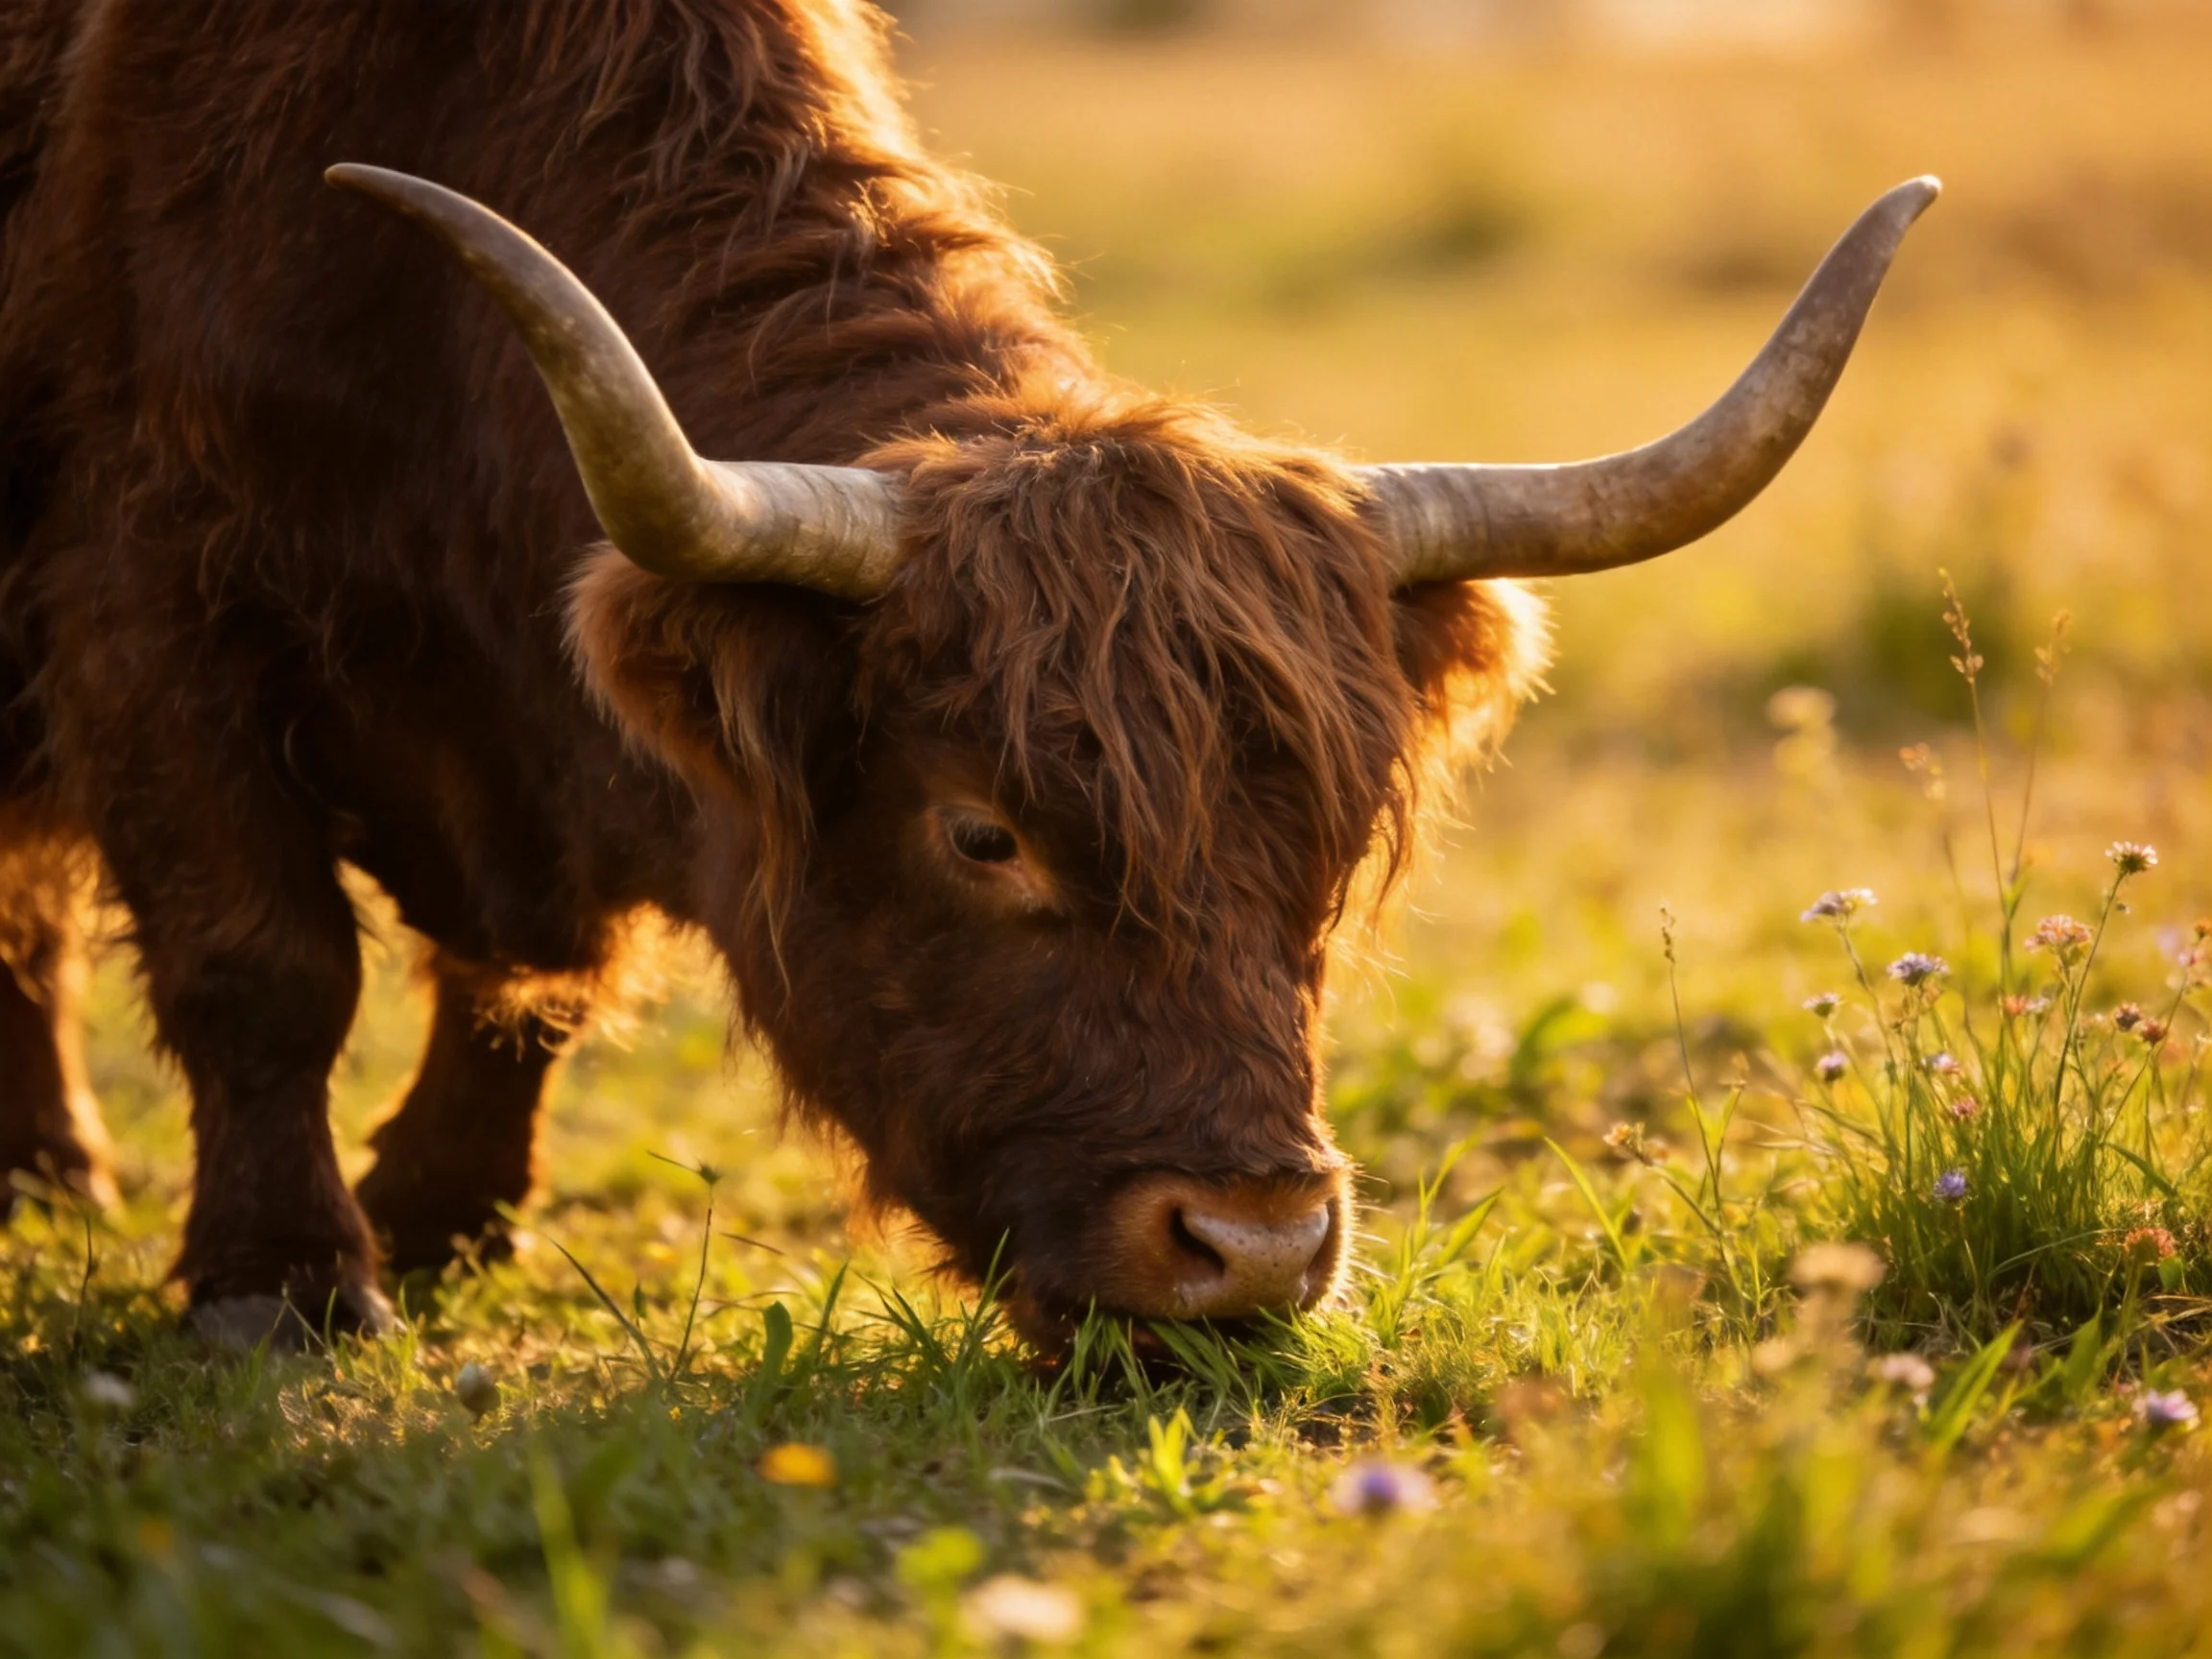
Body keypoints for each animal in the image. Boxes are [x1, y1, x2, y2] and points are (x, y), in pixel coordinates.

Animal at [0, 0, 1933, 1349]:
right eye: (980, 832)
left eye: (1320, 846)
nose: (1250, 1249)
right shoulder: (145, 612)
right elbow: (266, 965)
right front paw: (282, 1284)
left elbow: (523, 987)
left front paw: (442, 1212)